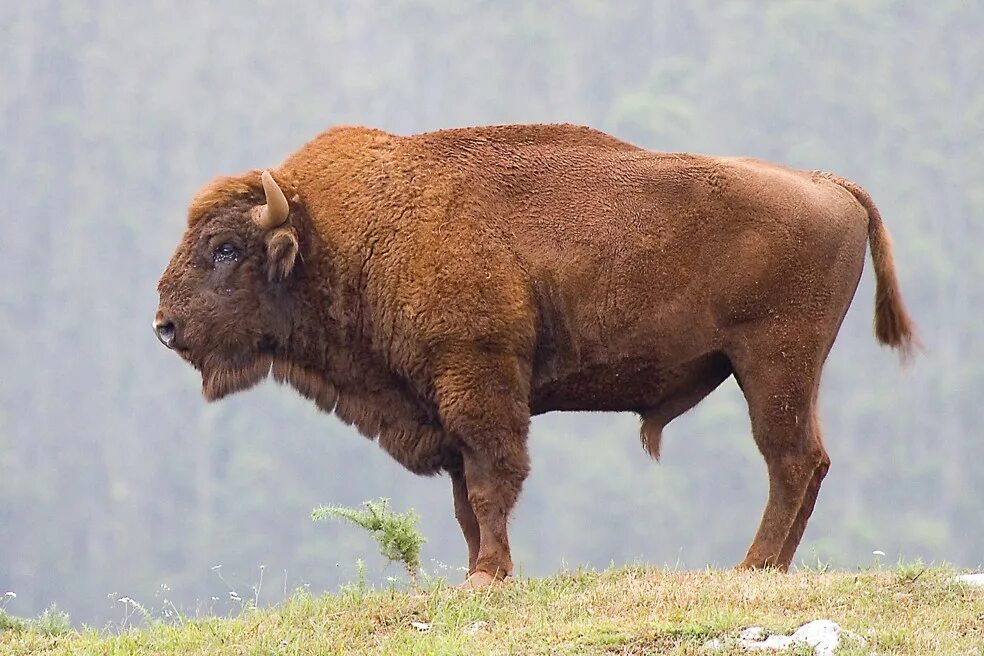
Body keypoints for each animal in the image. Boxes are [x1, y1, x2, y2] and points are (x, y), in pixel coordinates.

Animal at [154, 121, 916, 584]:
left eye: (226, 247)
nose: (164, 325)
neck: (348, 233)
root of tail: (829, 183)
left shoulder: (480, 379)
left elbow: (492, 482)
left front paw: (488, 574)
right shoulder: (443, 407)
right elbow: (464, 497)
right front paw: (475, 569)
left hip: (771, 364)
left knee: (789, 462)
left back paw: (750, 567)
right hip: (793, 372)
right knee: (811, 463)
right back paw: (771, 567)